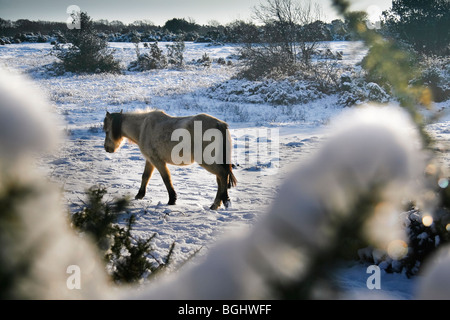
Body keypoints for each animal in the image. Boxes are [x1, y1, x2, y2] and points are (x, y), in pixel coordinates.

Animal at [101, 110, 236, 210]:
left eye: (107, 131)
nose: (107, 148)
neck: (143, 128)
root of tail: (219, 124)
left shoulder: (158, 161)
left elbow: (166, 178)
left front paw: (172, 200)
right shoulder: (150, 160)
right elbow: (145, 177)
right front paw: (139, 195)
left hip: (207, 161)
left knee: (222, 175)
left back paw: (218, 203)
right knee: (220, 180)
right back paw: (218, 204)